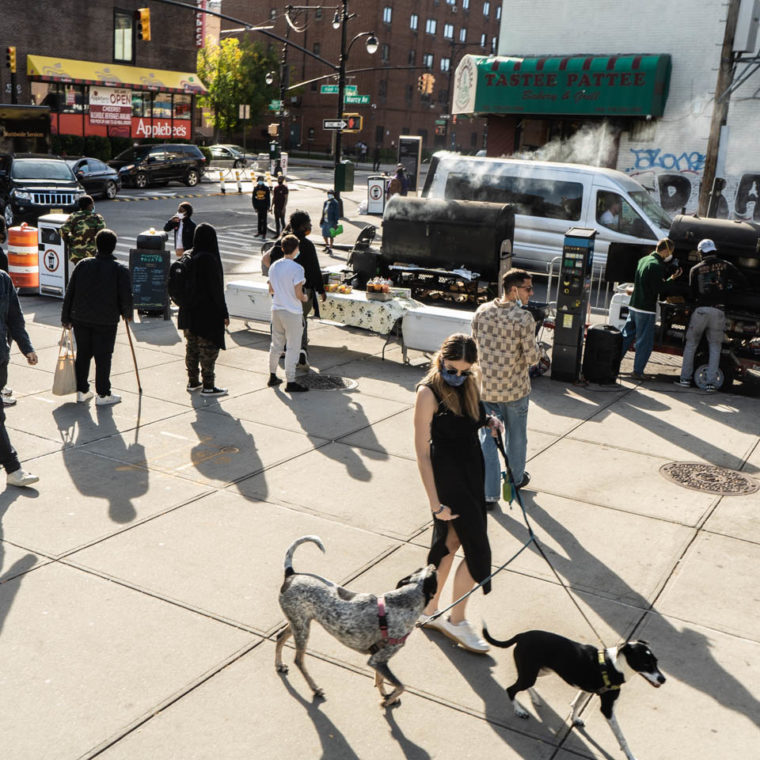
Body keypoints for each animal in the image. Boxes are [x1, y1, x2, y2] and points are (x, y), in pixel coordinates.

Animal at [276, 536, 436, 708]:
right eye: (434, 574)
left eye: (422, 569)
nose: (433, 564)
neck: (402, 602)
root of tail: (291, 574)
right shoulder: (377, 660)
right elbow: (401, 686)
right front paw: (387, 701)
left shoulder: (378, 660)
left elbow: (380, 679)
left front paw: (385, 695)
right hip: (302, 629)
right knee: (298, 660)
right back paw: (315, 688)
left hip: (298, 622)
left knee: (279, 636)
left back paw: (279, 665)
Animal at [480, 628, 664, 760]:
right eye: (646, 664)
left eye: (656, 662)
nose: (663, 680)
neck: (614, 664)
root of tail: (522, 635)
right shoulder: (607, 708)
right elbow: (622, 738)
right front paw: (631, 756)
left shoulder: (586, 689)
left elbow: (576, 704)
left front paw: (575, 719)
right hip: (531, 673)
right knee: (511, 689)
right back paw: (519, 711)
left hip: (539, 671)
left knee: (522, 684)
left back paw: (535, 698)